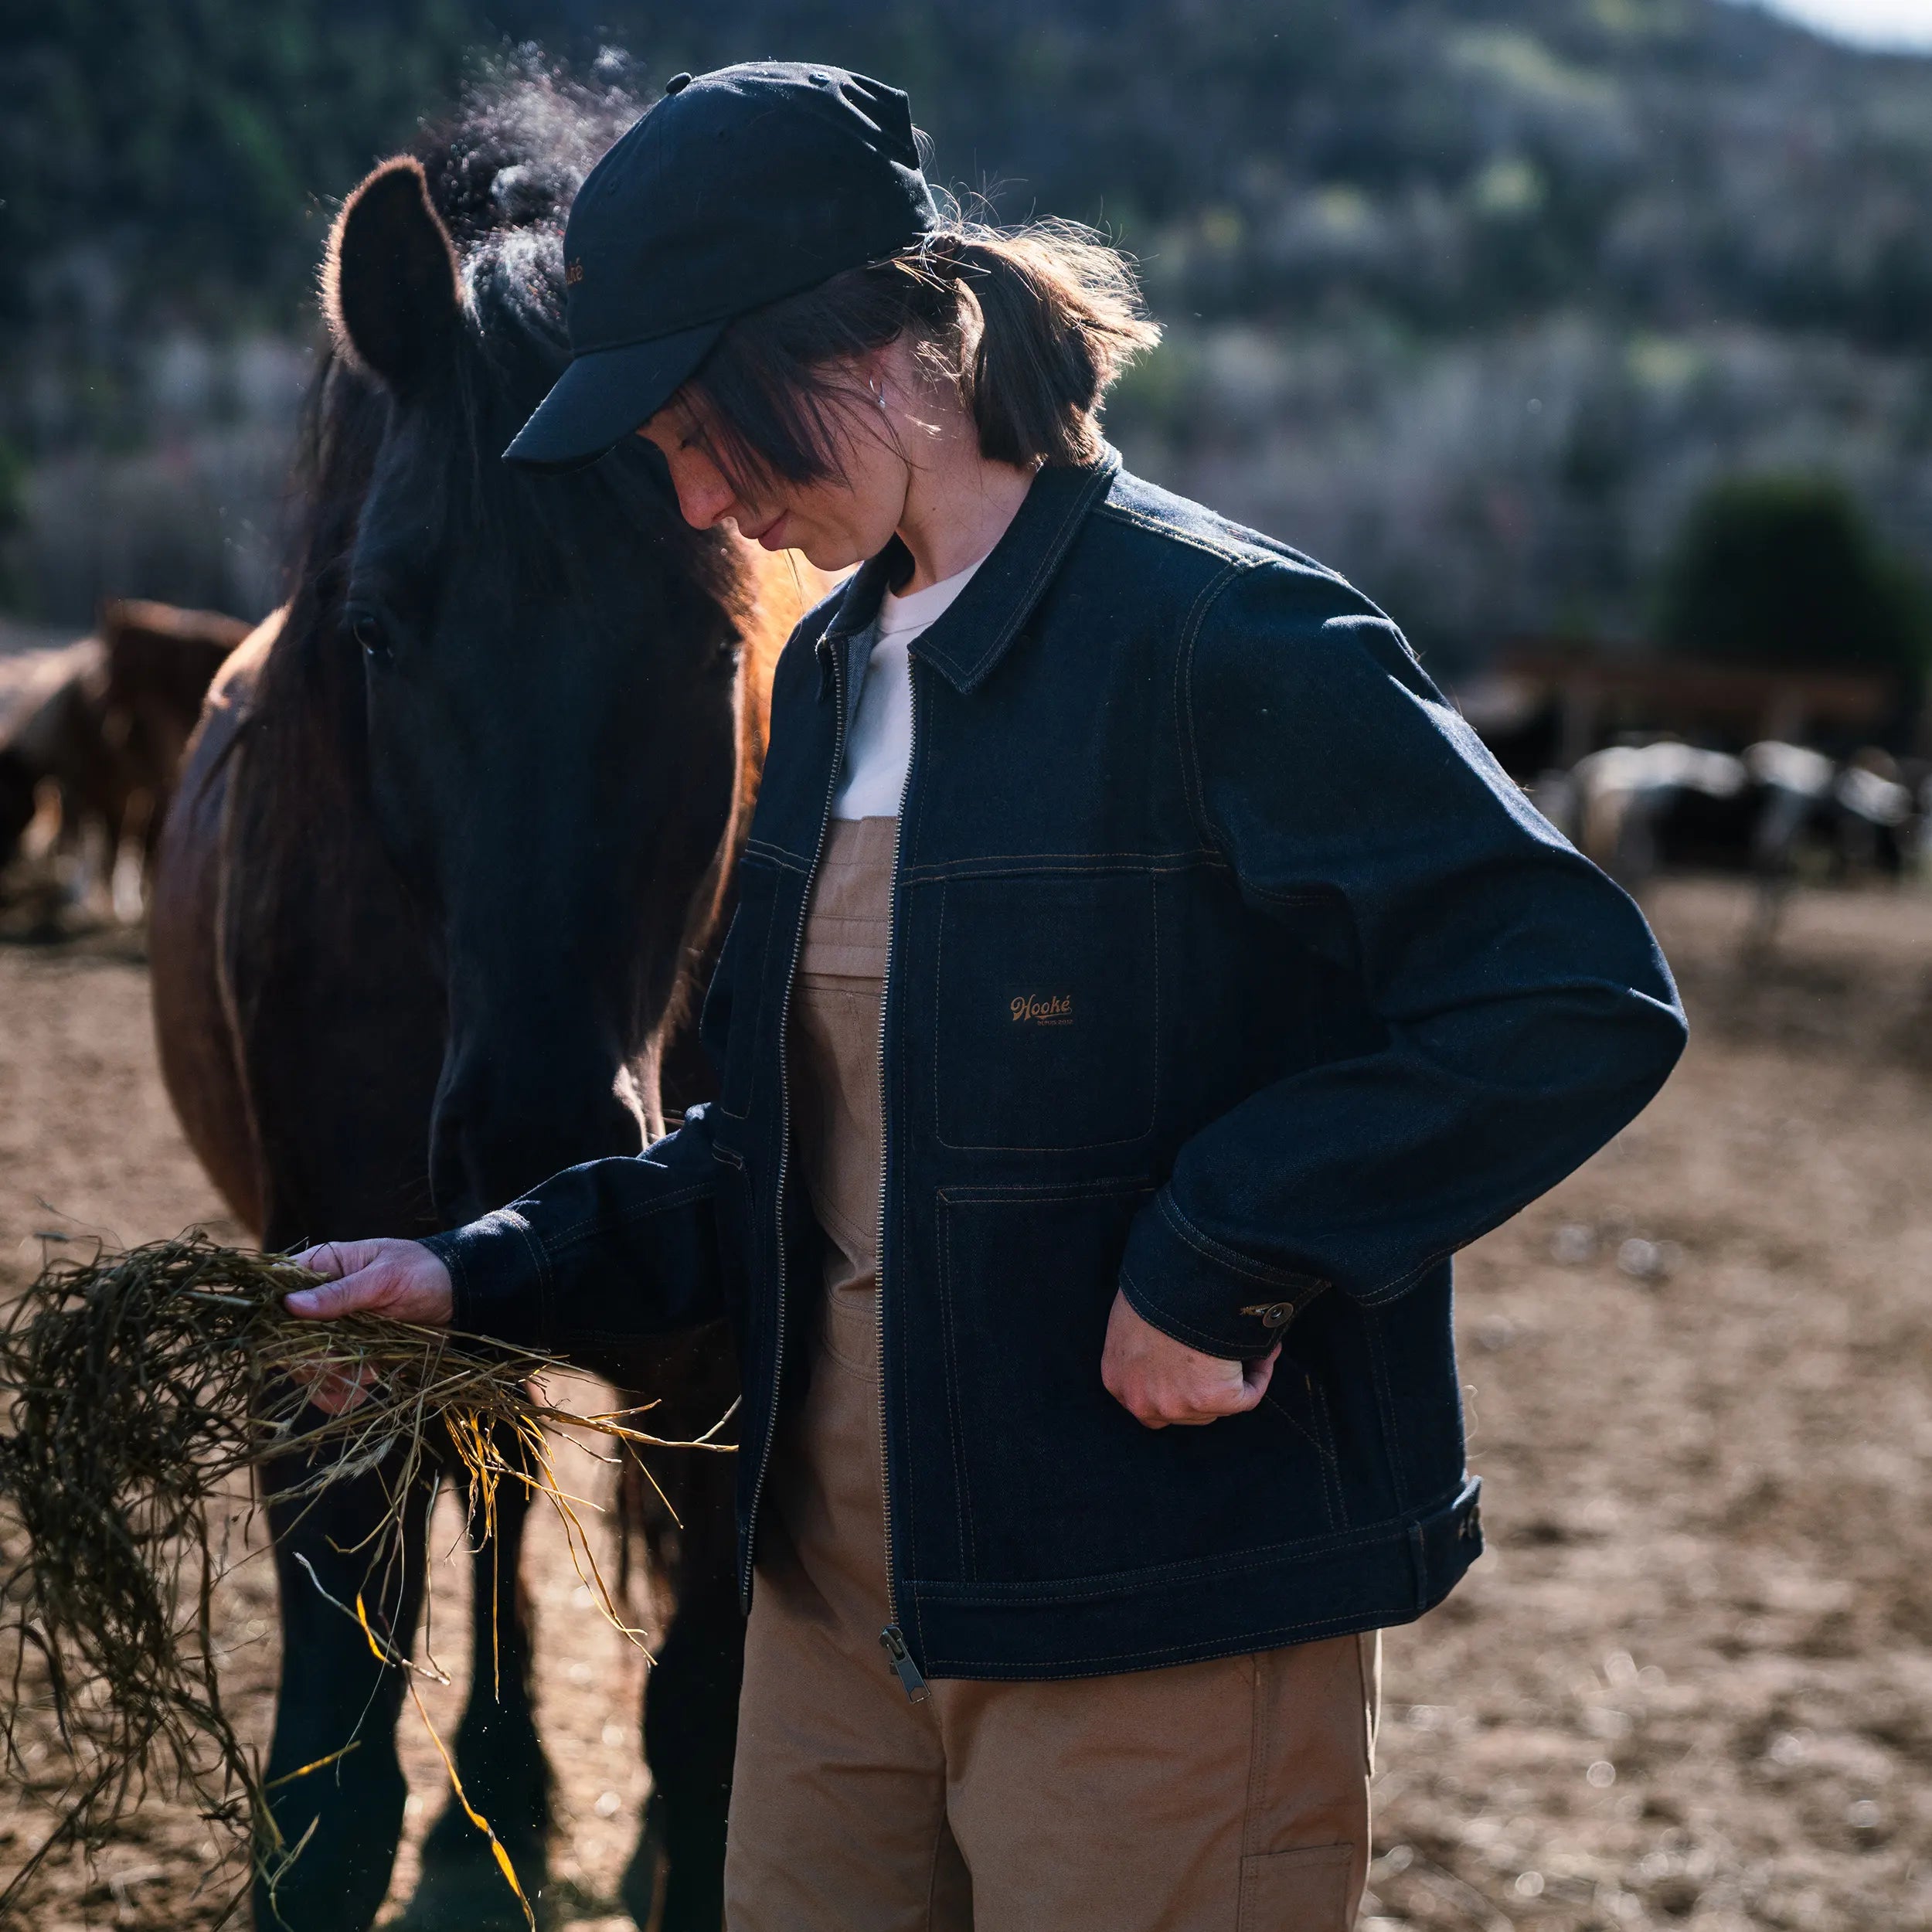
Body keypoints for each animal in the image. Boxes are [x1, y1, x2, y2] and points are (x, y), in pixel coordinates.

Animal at [148, 75, 815, 1932]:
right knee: (500, 1497)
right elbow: (329, 1794)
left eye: (713, 638)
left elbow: (710, 1736)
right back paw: (494, 1801)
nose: (534, 1132)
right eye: (377, 627)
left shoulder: (734, 1385)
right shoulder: (333, 1364)